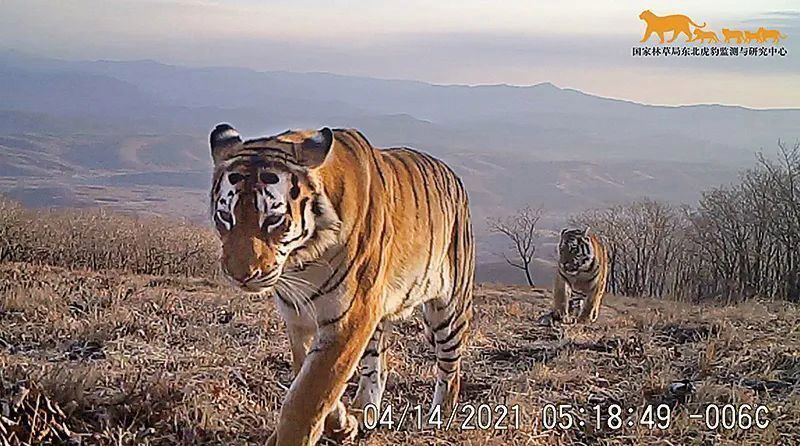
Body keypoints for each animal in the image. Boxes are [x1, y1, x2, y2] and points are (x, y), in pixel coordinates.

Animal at [209, 124, 474, 445]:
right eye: (225, 216)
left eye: (273, 220)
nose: (240, 275)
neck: (302, 262)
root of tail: (452, 174)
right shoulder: (300, 318)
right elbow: (312, 375)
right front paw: (342, 424)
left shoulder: (351, 316)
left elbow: (309, 394)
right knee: (377, 368)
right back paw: (363, 413)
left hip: (449, 309)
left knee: (450, 368)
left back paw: (440, 418)